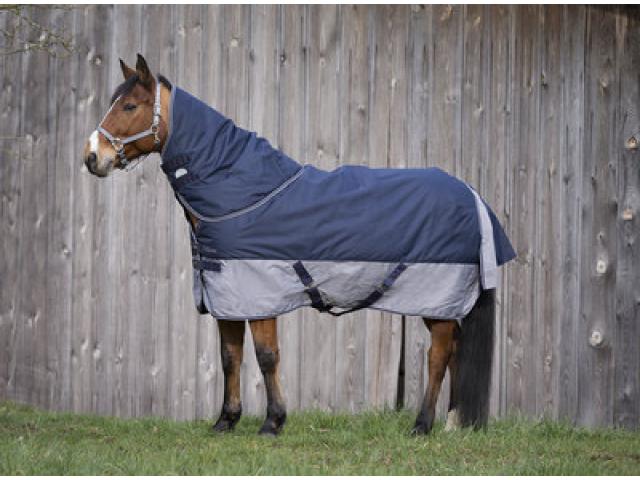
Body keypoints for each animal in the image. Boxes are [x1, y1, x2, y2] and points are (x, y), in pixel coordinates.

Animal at [83, 54, 515, 436]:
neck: (243, 193)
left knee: (438, 356)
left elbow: (266, 356)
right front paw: (226, 421)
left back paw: (422, 426)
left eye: (130, 105)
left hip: (435, 301)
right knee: (454, 351)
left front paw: (272, 423)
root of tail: (472, 196)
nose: (92, 158)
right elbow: (230, 357)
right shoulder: (227, 294)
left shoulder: (260, 293)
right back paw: (452, 424)